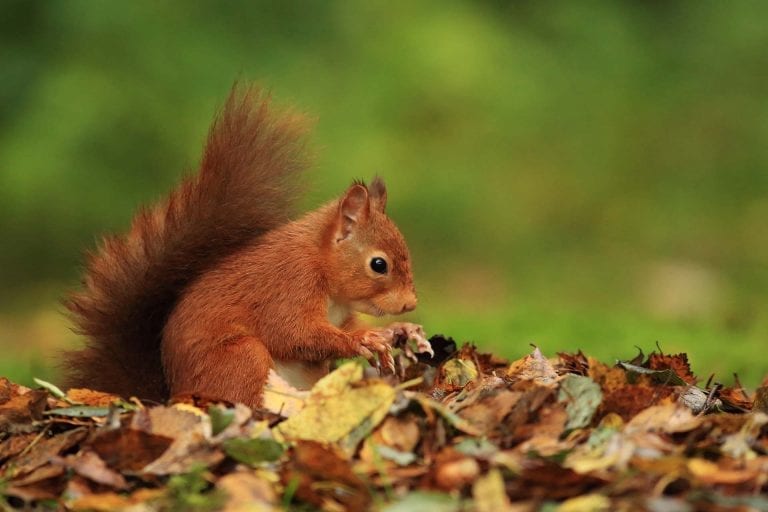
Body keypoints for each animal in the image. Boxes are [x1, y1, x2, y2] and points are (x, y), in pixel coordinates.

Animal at [63, 86, 428, 406]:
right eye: (379, 264)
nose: (410, 304)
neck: (323, 269)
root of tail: (169, 394)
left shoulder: (338, 312)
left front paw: (398, 331)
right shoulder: (289, 288)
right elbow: (294, 333)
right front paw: (362, 340)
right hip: (239, 357)